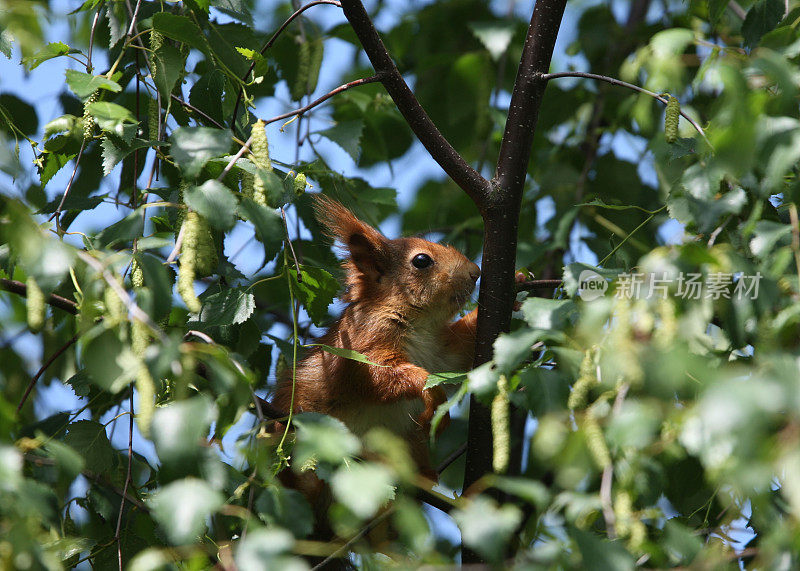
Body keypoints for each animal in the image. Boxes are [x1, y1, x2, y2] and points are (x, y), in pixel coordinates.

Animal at [272, 197, 478, 478]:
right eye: (421, 260)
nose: (476, 271)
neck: (421, 325)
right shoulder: (362, 340)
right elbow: (376, 374)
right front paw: (433, 397)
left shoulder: (440, 351)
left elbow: (460, 353)